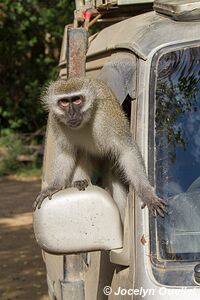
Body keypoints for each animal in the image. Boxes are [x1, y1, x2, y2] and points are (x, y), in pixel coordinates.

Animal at [34, 76, 167, 221]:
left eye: (77, 100)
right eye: (64, 102)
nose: (72, 114)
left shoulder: (109, 115)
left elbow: (126, 151)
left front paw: (146, 193)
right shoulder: (56, 121)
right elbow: (66, 152)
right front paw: (54, 186)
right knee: (83, 152)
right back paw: (80, 181)